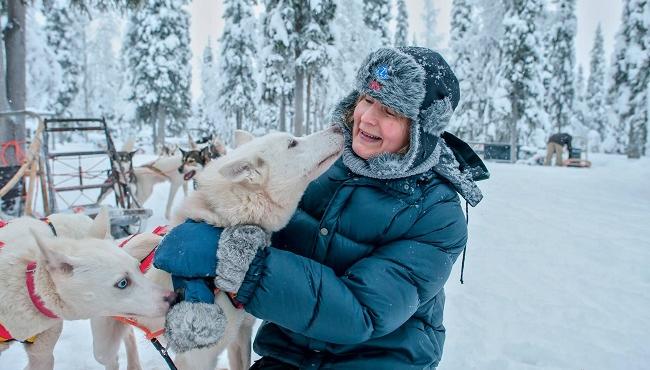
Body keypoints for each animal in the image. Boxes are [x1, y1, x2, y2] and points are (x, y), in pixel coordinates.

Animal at [90, 126, 344, 370]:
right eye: (292, 143)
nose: (337, 127)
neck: (222, 220)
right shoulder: (197, 360)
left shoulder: (241, 334)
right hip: (103, 346)